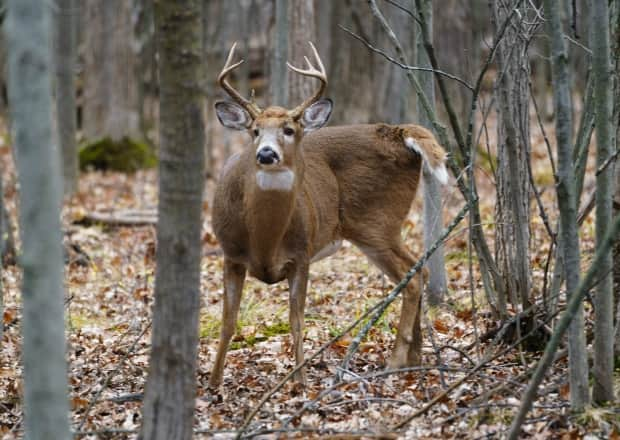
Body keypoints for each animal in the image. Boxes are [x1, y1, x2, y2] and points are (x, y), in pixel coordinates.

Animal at [208, 40, 446, 384]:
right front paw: (213, 383)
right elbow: (228, 322)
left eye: (289, 129)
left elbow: (296, 321)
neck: (263, 239)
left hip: (377, 222)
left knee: (411, 277)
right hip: (375, 230)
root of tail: (398, 132)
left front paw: (300, 381)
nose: (266, 154)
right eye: (254, 130)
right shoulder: (230, 254)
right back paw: (413, 357)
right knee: (419, 269)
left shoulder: (301, 252)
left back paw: (394, 361)